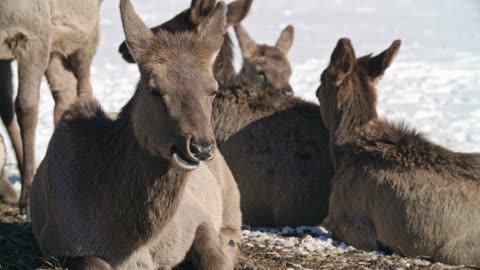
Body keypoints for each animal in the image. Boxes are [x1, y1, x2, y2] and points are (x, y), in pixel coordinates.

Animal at [0, 0, 101, 215]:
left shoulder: (33, 35)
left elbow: (26, 108)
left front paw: (26, 198)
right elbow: (6, 108)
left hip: (85, 31)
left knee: (84, 87)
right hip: (56, 45)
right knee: (65, 91)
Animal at [28, 1, 242, 268]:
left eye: (213, 90)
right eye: (154, 89)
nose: (201, 147)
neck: (130, 244)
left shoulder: (198, 215)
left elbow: (216, 258)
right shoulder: (54, 246)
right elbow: (94, 262)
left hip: (231, 193)